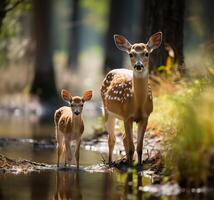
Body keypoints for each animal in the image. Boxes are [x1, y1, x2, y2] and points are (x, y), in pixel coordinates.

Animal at [100, 32, 162, 165]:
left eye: (146, 53)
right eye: (131, 54)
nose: (138, 65)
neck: (137, 104)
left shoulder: (145, 117)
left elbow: (139, 147)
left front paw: (138, 164)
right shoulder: (127, 116)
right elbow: (131, 147)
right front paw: (130, 166)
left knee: (123, 138)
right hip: (107, 110)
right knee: (112, 138)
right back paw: (110, 162)